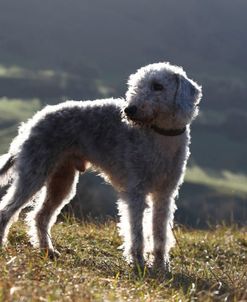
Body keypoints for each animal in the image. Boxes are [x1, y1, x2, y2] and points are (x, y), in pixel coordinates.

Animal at [0, 62, 202, 272]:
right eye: (135, 84)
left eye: (158, 86)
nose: (129, 109)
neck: (160, 134)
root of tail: (31, 123)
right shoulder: (135, 192)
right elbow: (136, 232)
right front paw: (138, 264)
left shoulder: (164, 193)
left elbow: (160, 233)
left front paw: (161, 267)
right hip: (34, 173)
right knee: (6, 211)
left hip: (62, 180)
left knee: (40, 215)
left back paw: (48, 251)